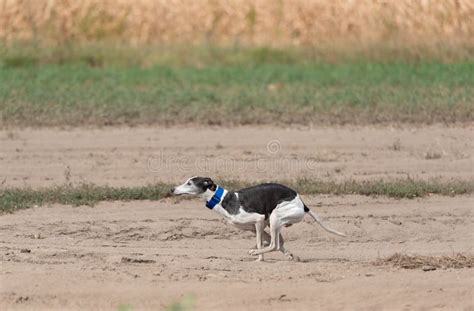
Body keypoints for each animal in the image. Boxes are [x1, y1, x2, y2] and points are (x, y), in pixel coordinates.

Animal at [170, 177, 344, 262]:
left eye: (189, 183)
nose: (172, 189)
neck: (223, 199)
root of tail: (302, 203)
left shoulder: (259, 220)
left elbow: (264, 243)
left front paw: (259, 257)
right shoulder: (255, 227)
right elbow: (267, 241)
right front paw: (289, 255)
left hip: (275, 217)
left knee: (275, 244)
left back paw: (255, 252)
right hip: (275, 221)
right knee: (279, 242)